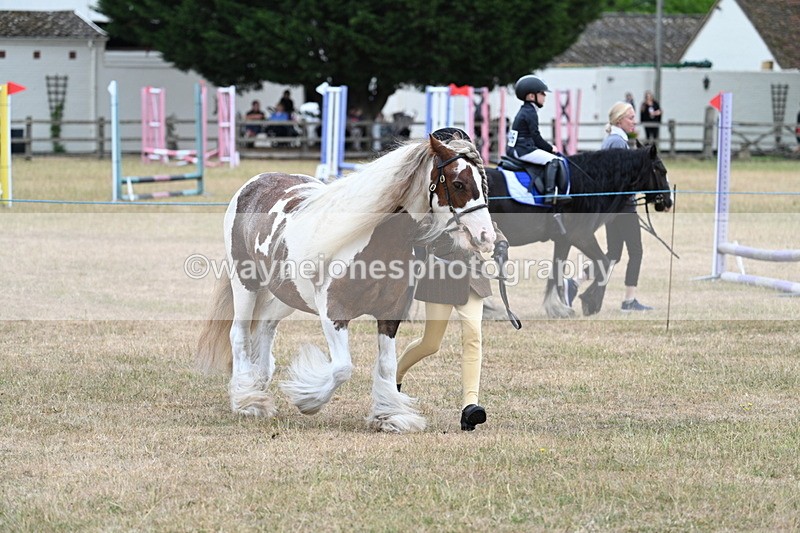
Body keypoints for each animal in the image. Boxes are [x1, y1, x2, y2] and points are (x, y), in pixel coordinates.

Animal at [196, 135, 496, 433]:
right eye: (458, 183)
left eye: (483, 184)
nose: (486, 236)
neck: (375, 241)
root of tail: (254, 182)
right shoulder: (334, 313)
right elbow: (342, 368)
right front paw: (307, 400)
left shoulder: (390, 315)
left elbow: (387, 365)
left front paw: (389, 416)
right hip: (245, 283)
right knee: (239, 334)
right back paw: (248, 400)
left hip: (289, 293)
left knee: (267, 324)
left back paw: (259, 382)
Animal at [486, 144, 672, 319]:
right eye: (661, 171)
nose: (668, 202)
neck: (585, 183)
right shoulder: (581, 236)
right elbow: (604, 262)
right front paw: (590, 302)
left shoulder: (564, 240)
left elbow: (557, 271)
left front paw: (557, 307)